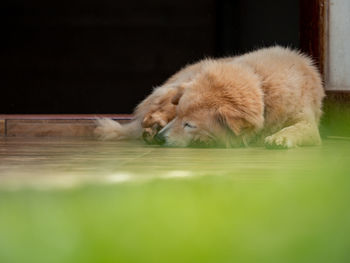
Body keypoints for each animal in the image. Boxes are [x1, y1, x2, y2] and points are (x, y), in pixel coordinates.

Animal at [94, 46, 324, 147]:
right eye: (178, 117)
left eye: (189, 124)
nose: (160, 138)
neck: (262, 84)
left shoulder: (307, 121)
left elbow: (299, 128)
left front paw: (280, 137)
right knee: (150, 114)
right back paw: (152, 127)